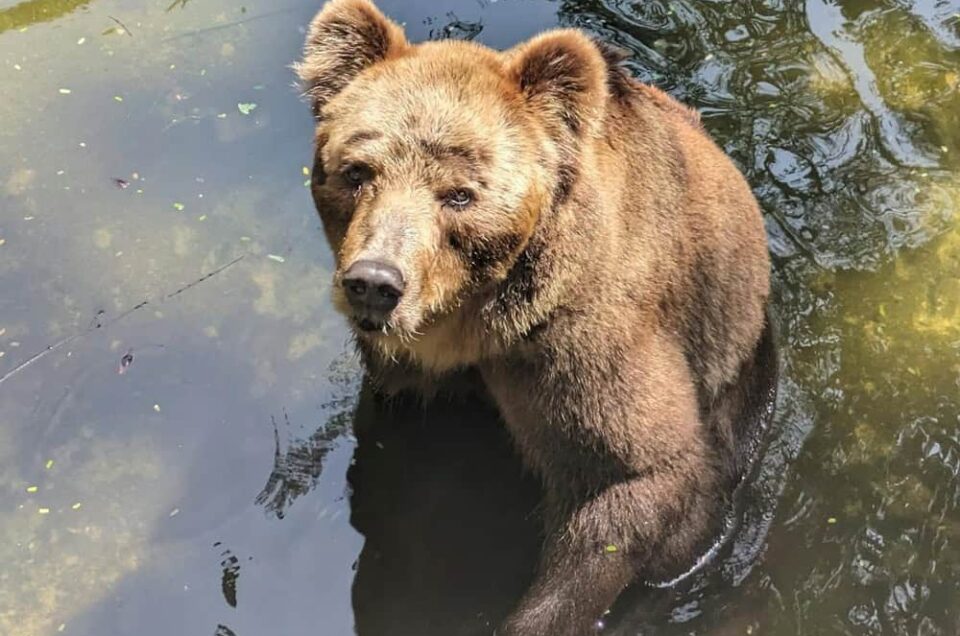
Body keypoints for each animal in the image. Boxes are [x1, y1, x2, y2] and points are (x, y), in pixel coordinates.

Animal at [300, 2, 780, 632]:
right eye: (357, 171)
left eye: (459, 194)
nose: (375, 283)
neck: (473, 324)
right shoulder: (406, 375)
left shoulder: (579, 346)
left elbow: (633, 478)